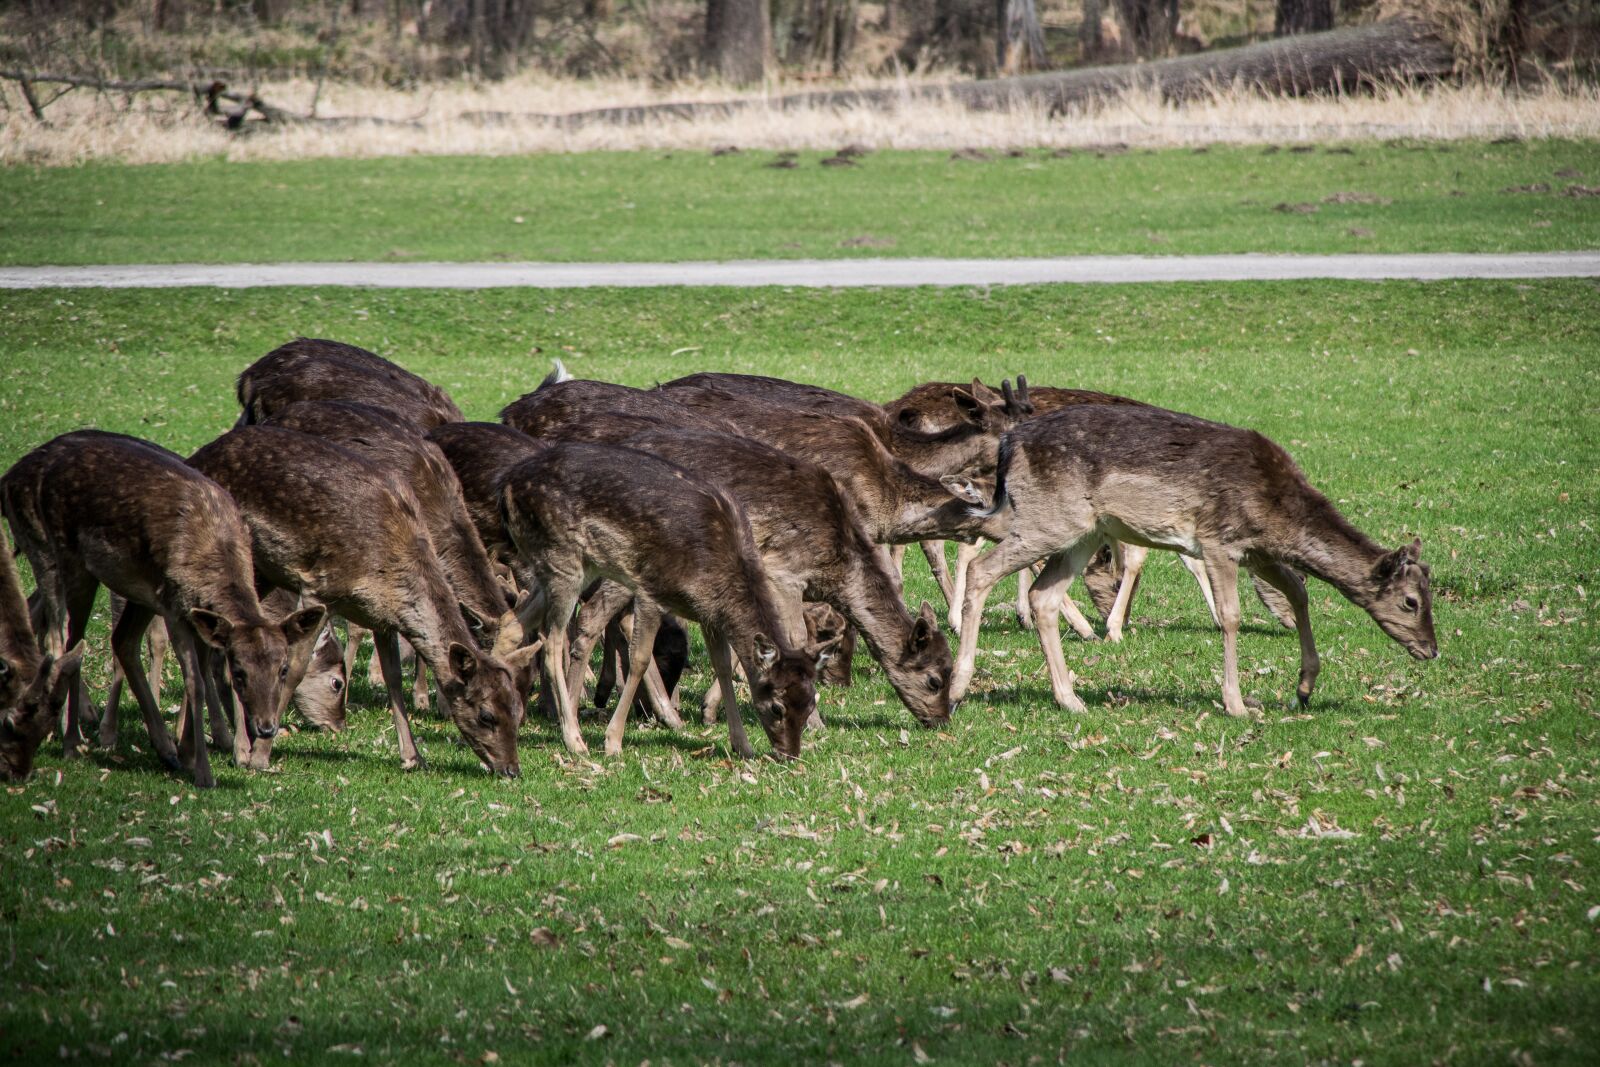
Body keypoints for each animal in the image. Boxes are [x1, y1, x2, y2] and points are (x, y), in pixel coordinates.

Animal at [187, 425, 529, 776]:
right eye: (486, 715)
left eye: (518, 710)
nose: (511, 769)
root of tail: (200, 454)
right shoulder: (319, 588)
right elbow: (294, 669)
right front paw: (261, 757)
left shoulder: (382, 615)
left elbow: (393, 678)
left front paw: (413, 757)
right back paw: (239, 747)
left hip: (266, 574)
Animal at [499, 441, 835, 760]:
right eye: (777, 707)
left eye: (810, 703)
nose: (789, 754)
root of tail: (506, 486)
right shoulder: (651, 590)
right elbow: (639, 659)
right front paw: (613, 742)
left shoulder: (708, 613)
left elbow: (722, 666)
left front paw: (742, 745)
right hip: (563, 560)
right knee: (551, 642)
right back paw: (574, 739)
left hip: (564, 568)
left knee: (512, 623)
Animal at [949, 405, 1438, 718]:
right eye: (1410, 602)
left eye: (1429, 596)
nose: (1431, 649)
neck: (1278, 514)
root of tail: (1008, 444)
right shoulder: (1219, 540)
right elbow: (1231, 616)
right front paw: (1237, 705)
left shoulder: (1258, 551)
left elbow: (1299, 592)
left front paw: (1302, 689)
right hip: (1048, 519)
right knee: (982, 568)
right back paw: (957, 687)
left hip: (1083, 532)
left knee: (1043, 596)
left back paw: (1071, 700)